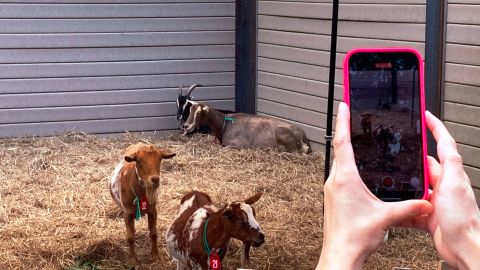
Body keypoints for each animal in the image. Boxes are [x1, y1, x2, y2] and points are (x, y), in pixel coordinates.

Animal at [181, 101, 312, 153]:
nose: (186, 126)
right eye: (190, 110)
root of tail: (303, 136)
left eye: (199, 112)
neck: (225, 124)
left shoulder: (239, 144)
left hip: (282, 133)